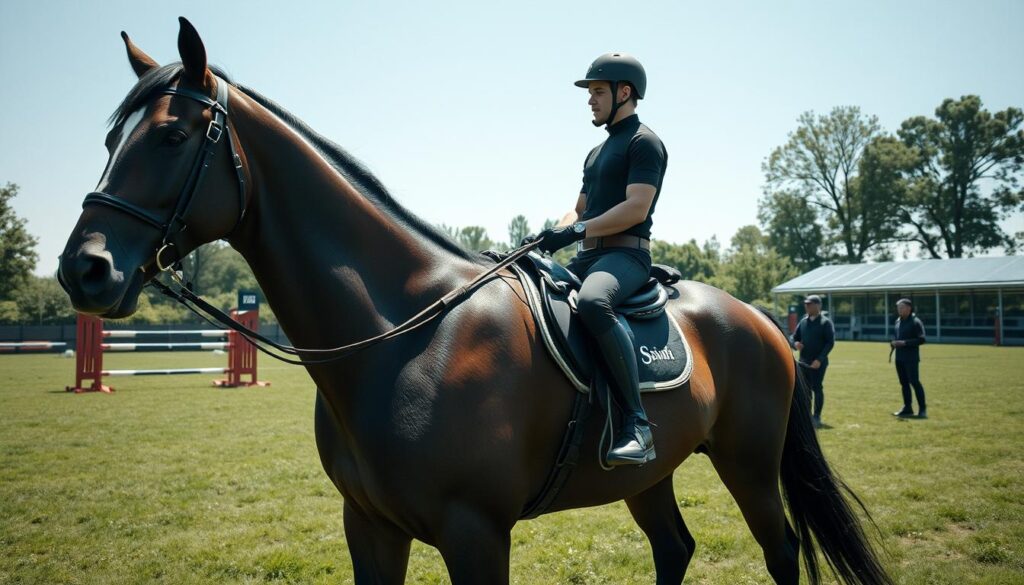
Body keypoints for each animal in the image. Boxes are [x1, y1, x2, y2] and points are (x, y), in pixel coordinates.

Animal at [58, 18, 888, 585]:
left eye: (171, 138)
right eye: (110, 140)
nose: (83, 269)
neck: (402, 334)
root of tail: (760, 320)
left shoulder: (476, 533)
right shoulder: (370, 527)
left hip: (748, 463)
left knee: (781, 552)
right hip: (650, 474)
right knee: (674, 547)